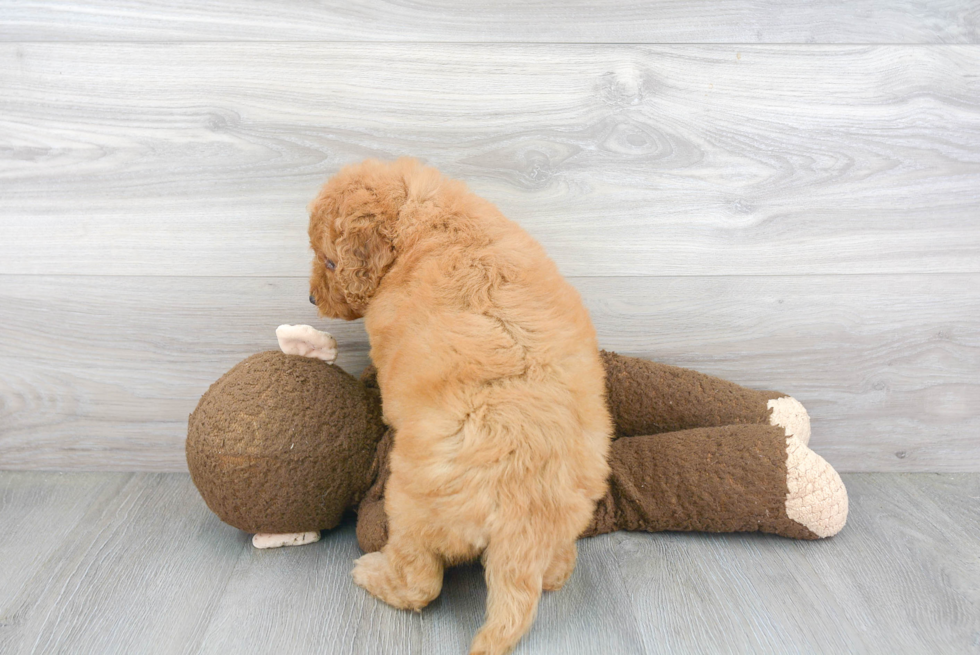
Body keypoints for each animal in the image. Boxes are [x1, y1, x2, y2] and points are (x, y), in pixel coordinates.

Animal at [308, 159, 612, 655]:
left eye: (330, 261)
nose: (312, 297)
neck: (421, 217)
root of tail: (524, 517)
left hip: (410, 507)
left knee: (420, 583)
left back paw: (372, 574)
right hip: (572, 510)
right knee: (555, 570)